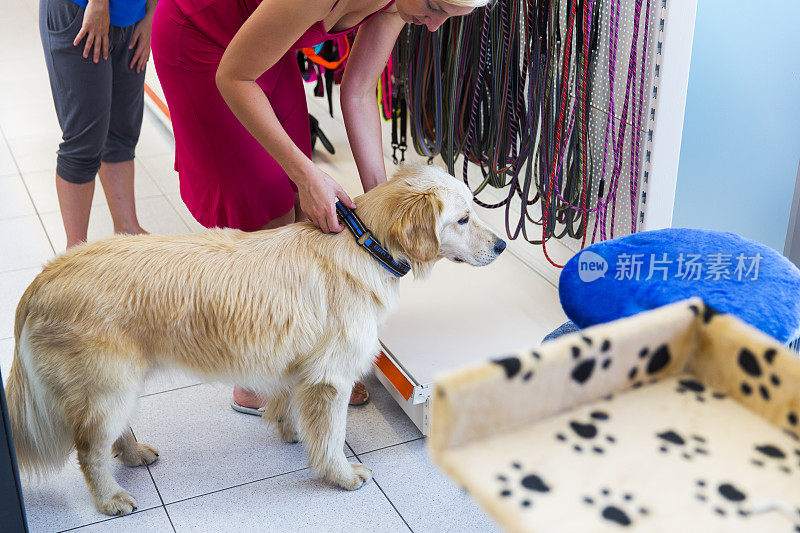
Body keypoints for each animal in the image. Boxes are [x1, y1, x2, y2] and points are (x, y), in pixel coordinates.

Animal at [4, 163, 506, 516]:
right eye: (463, 219)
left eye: (474, 211)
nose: (502, 246)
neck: (364, 244)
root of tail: (44, 276)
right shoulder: (332, 378)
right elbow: (332, 437)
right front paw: (341, 476)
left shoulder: (301, 366)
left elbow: (291, 405)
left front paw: (290, 430)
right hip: (108, 385)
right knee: (88, 449)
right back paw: (111, 498)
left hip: (118, 384)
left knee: (110, 435)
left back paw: (134, 453)